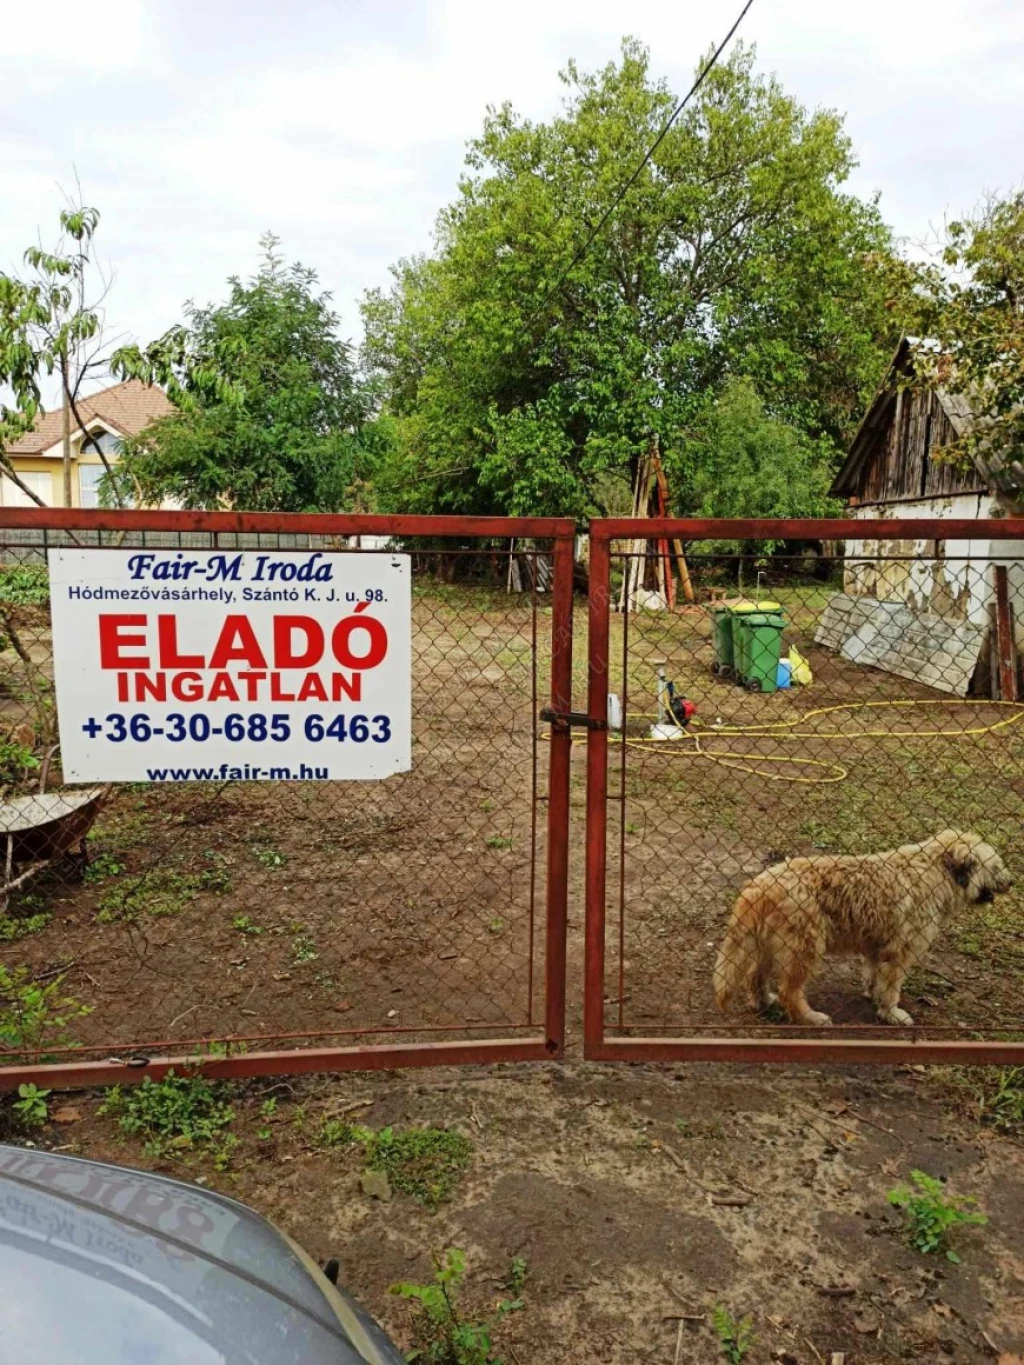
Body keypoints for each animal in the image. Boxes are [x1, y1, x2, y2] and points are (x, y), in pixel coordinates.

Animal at [715, 829, 1015, 1026]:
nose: (1012, 882)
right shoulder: (900, 952)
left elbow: (874, 975)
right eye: (995, 867)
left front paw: (873, 995)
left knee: (754, 977)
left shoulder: (877, 946)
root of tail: (760, 885)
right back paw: (809, 1017)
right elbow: (891, 986)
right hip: (804, 948)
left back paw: (763, 1001)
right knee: (790, 991)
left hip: (768, 945)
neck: (935, 871)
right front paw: (891, 1012)